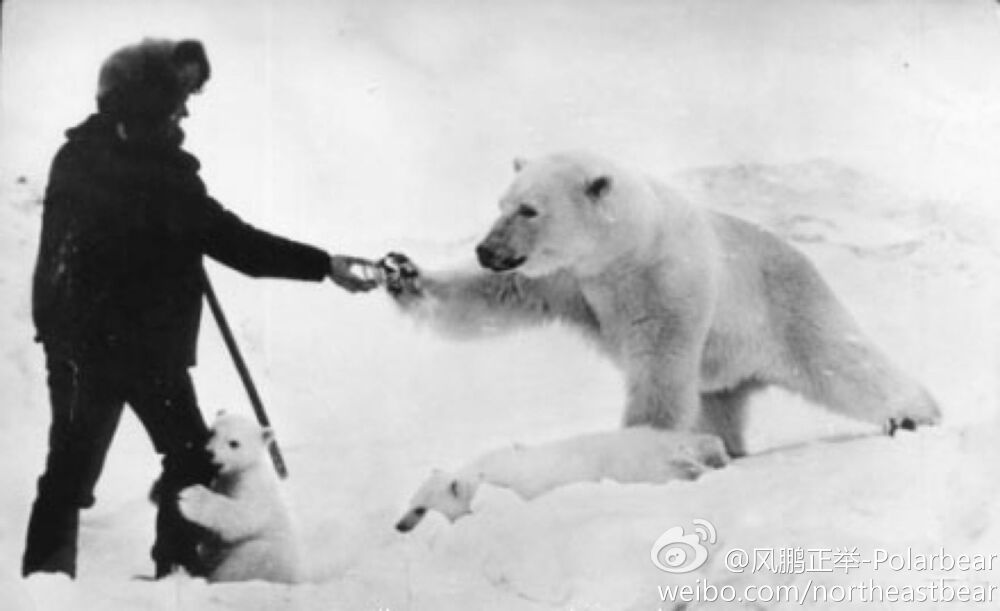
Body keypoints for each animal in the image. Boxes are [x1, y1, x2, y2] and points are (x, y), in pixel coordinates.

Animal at [179, 414, 300, 584]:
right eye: (212, 432)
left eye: (234, 443)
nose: (209, 453)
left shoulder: (253, 485)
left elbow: (245, 516)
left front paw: (190, 497)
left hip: (265, 554)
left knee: (246, 559)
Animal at [380, 151, 936, 456]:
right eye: (502, 203)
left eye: (529, 209)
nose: (486, 249)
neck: (623, 251)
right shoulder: (566, 281)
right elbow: (491, 296)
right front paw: (401, 272)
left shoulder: (666, 282)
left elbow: (659, 367)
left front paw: (637, 446)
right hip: (724, 367)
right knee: (717, 404)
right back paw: (729, 447)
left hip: (787, 307)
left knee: (843, 363)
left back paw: (916, 415)